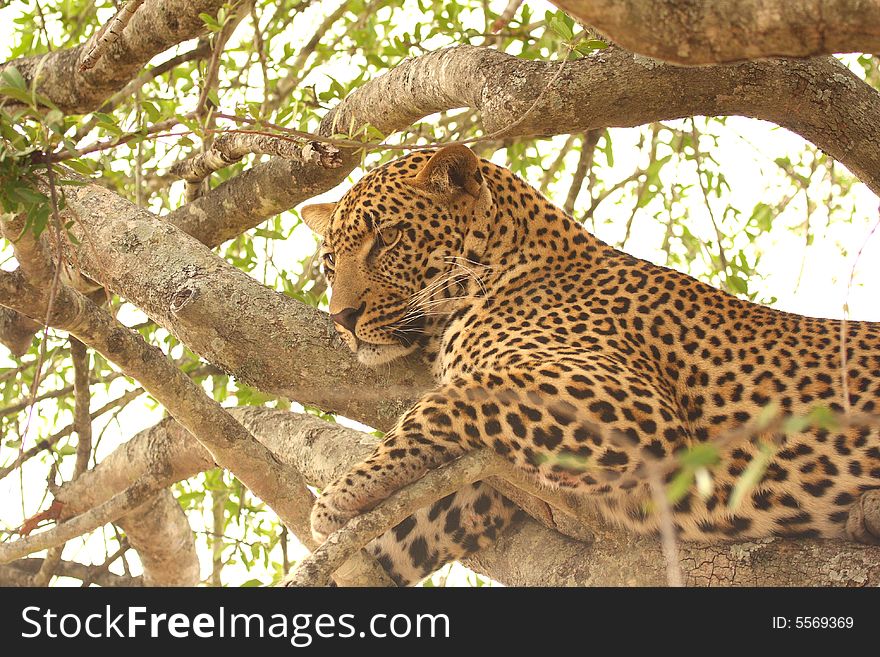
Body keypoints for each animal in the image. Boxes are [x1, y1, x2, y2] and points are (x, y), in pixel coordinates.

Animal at [300, 144, 880, 584]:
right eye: (330, 261)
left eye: (388, 238)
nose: (342, 317)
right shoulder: (488, 488)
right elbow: (412, 526)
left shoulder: (627, 407)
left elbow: (445, 400)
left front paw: (340, 495)